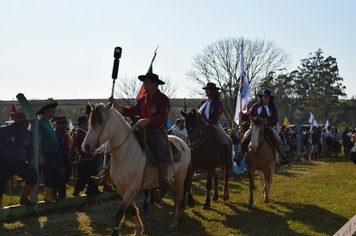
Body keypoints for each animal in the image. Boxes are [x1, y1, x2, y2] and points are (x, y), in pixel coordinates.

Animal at [82, 102, 192, 236]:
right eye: (89, 121)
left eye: (100, 121)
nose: (86, 146)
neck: (125, 153)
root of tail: (183, 142)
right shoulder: (121, 188)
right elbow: (132, 209)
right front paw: (139, 230)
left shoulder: (131, 188)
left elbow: (120, 211)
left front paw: (115, 233)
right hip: (169, 178)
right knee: (175, 195)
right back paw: (179, 217)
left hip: (181, 175)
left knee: (180, 196)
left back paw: (174, 223)